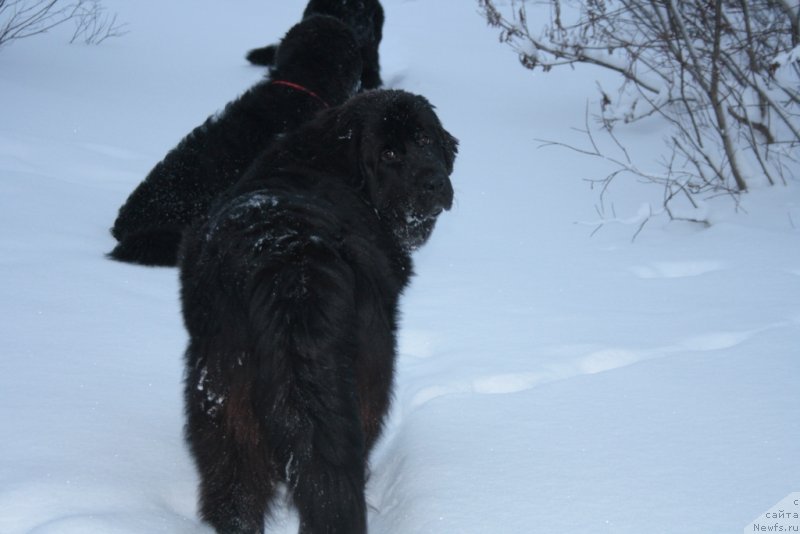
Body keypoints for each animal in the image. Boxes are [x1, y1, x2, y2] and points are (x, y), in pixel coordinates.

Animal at [180, 90, 456, 532]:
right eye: (389, 153)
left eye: (425, 139)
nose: (434, 182)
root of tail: (288, 262)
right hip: (369, 371)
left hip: (220, 386)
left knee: (235, 484)